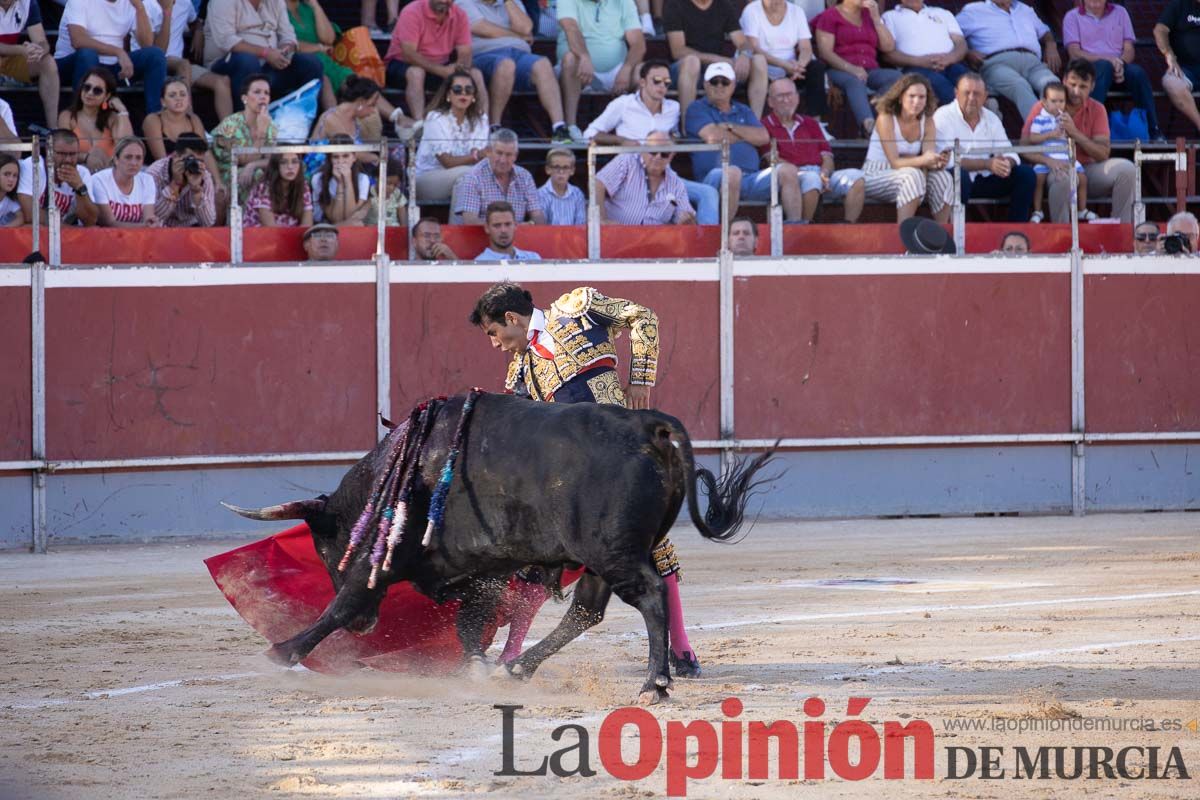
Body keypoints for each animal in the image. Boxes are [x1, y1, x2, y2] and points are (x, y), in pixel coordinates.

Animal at [223, 393, 777, 700]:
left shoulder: (380, 563)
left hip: (612, 551)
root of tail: (649, 425)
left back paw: (654, 684)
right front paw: (477, 669)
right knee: (587, 610)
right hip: (602, 557)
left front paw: (281, 651)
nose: (367, 627)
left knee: (651, 596)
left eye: (324, 547)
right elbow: (471, 626)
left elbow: (340, 604)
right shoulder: (481, 568)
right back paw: (517, 668)